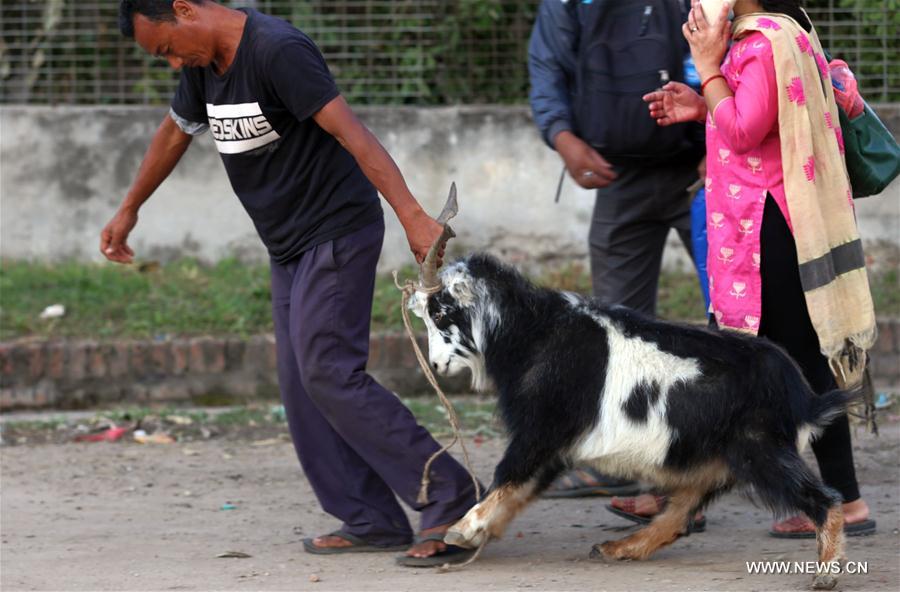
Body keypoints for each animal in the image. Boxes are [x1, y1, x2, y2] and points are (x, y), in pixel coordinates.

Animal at [410, 188, 852, 588]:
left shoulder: (544, 427)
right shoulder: (555, 440)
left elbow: (510, 473)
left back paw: (826, 571)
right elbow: (520, 485)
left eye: (441, 314)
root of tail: (803, 396)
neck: (535, 332)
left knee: (823, 499)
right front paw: (473, 533)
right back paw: (619, 547)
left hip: (759, 449)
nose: (435, 365)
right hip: (712, 457)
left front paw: (463, 528)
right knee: (678, 514)